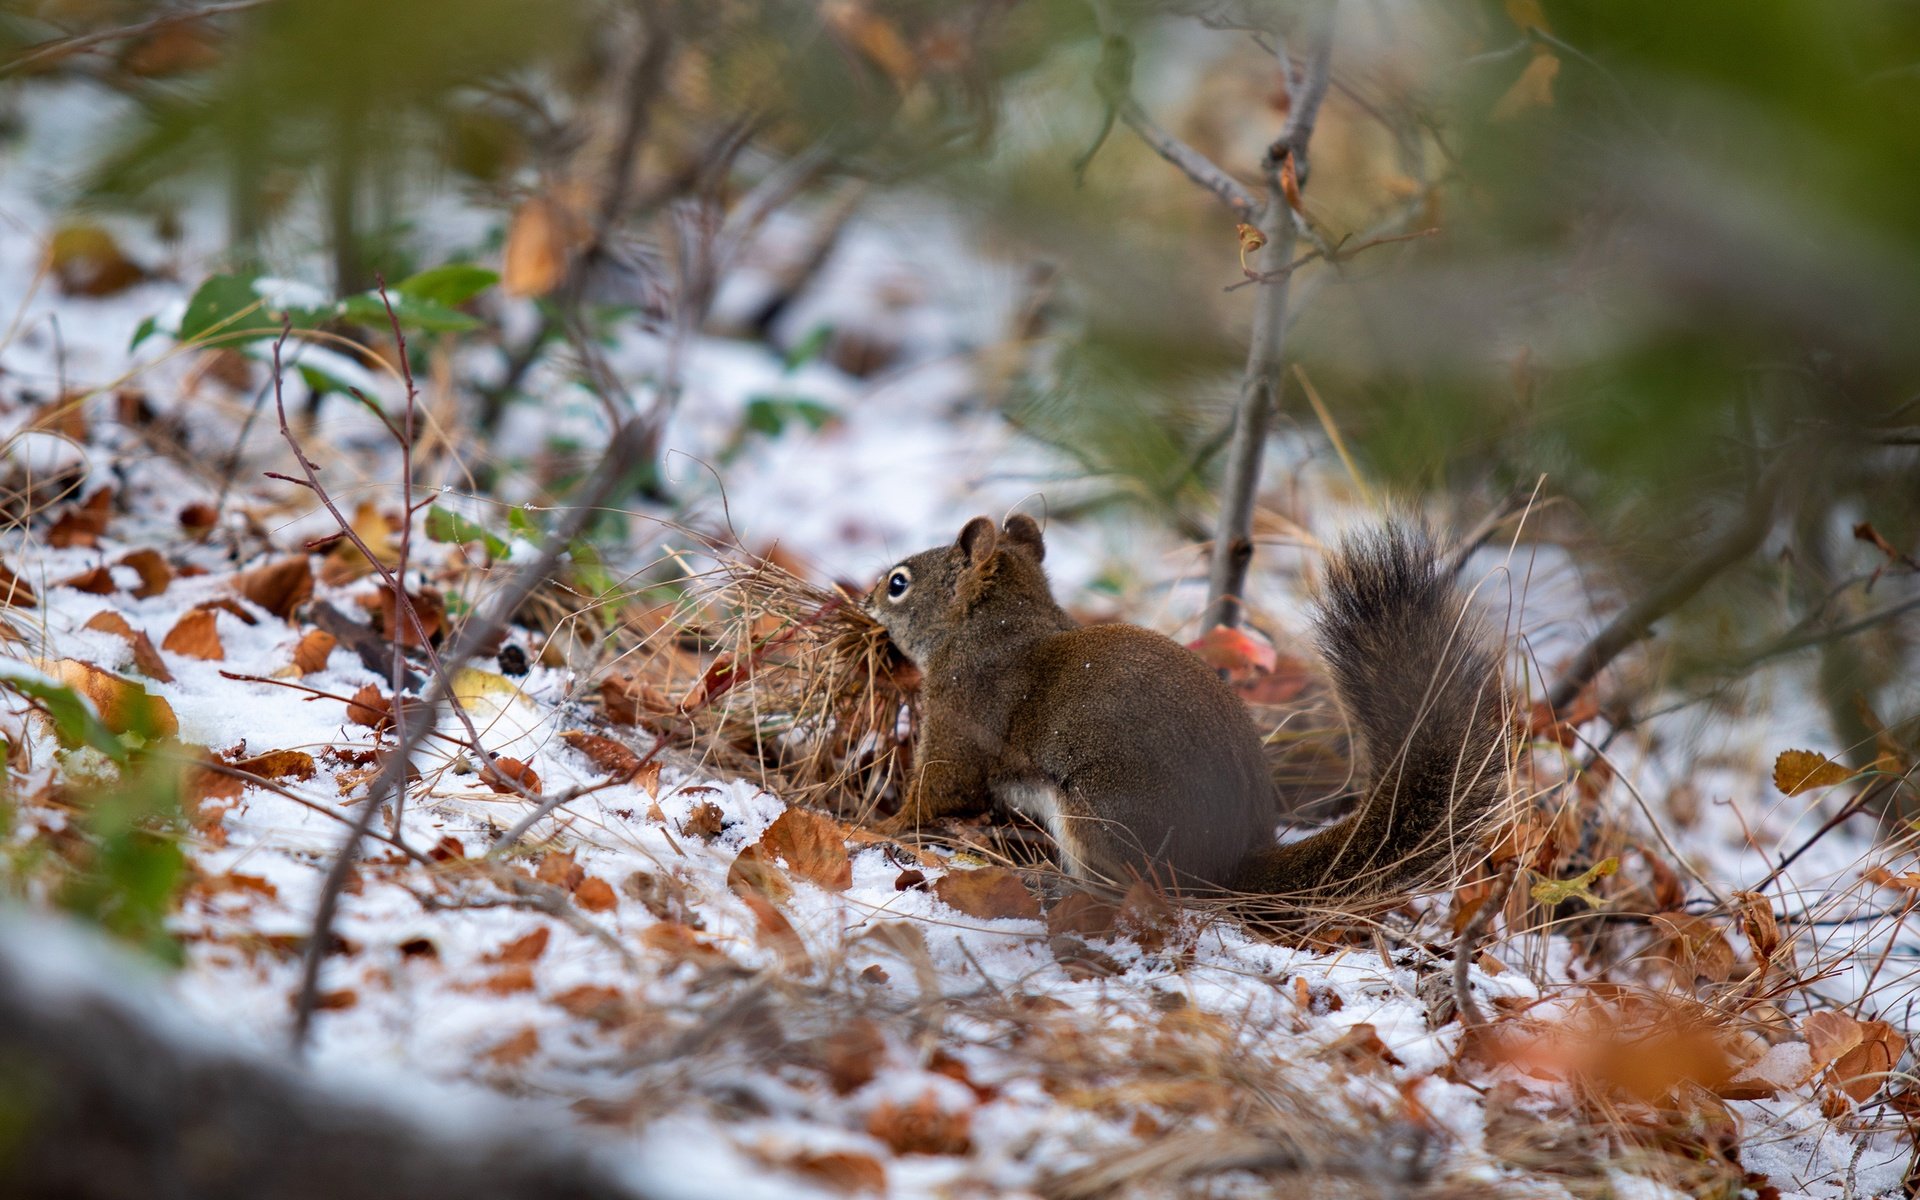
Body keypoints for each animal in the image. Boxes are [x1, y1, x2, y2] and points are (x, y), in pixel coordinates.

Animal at [871, 514, 1512, 898]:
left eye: (899, 583)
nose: (867, 598)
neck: (1000, 625)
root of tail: (1231, 861)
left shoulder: (961, 711)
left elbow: (939, 784)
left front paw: (880, 825)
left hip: (1103, 814)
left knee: (1131, 889)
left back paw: (1055, 885)